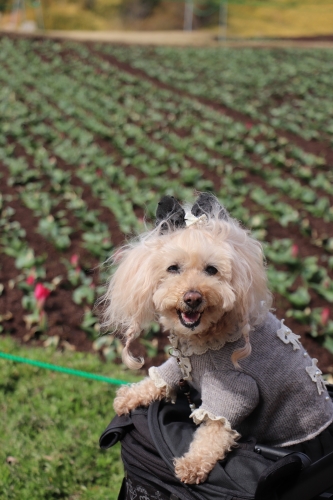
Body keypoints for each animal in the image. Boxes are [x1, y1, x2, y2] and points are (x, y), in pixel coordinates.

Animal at [102, 194, 332, 484]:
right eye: (173, 268)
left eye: (211, 270)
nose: (192, 297)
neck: (204, 336)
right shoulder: (181, 363)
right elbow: (159, 378)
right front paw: (128, 397)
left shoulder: (236, 390)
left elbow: (214, 431)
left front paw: (192, 465)